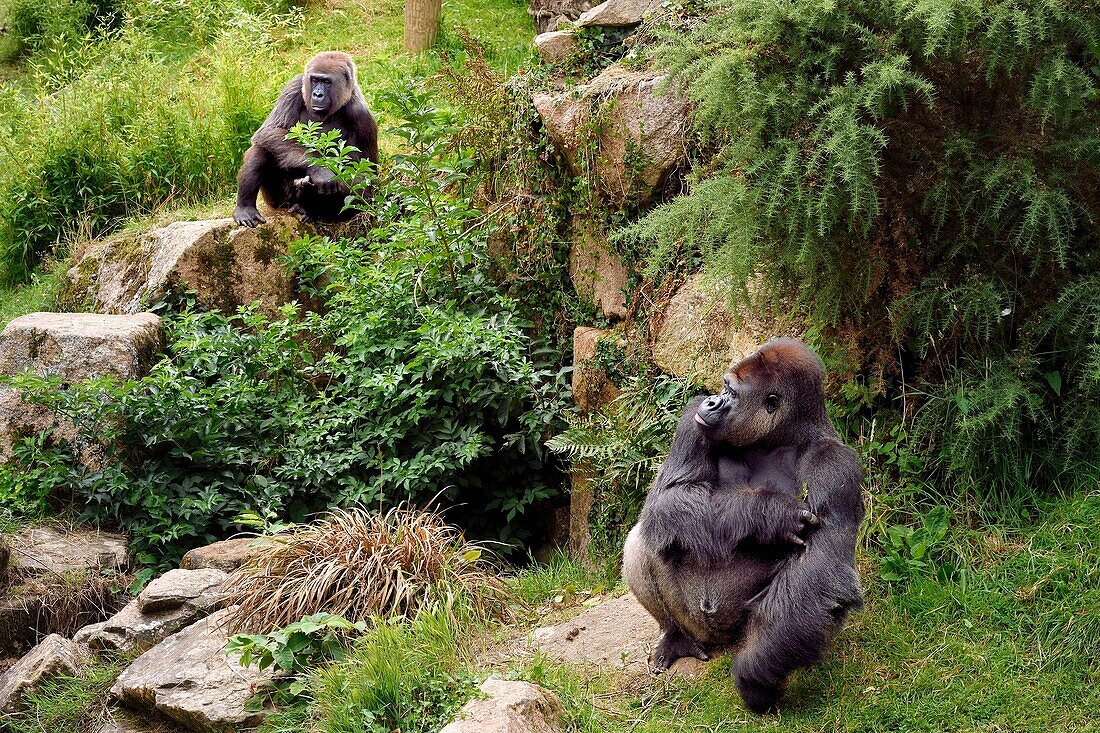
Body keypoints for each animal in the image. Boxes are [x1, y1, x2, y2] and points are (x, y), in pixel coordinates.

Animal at [232, 50, 378, 226]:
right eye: (314, 80)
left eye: (327, 82)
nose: (317, 94)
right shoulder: (295, 85)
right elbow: (269, 130)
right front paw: (321, 171)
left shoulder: (362, 116)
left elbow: (364, 178)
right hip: (278, 201)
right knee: (262, 147)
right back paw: (245, 208)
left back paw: (308, 207)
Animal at [624, 338, 862, 708]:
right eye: (723, 388)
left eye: (732, 394)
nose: (710, 401)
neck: (777, 438)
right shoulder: (692, 420)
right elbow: (669, 496)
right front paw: (769, 513)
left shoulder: (835, 463)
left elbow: (821, 564)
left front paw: (756, 672)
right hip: (698, 628)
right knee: (649, 535)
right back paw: (674, 635)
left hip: (739, 632)